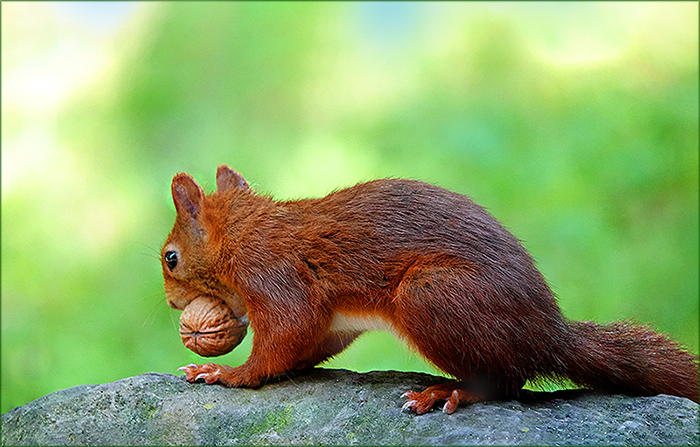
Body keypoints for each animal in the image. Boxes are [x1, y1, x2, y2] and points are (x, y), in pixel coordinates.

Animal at [163, 165, 699, 414]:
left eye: (170, 258)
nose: (170, 303)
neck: (244, 233)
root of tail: (549, 334)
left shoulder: (274, 275)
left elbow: (282, 338)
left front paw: (225, 373)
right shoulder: (331, 322)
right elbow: (305, 346)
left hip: (429, 296)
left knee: (508, 383)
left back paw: (448, 393)